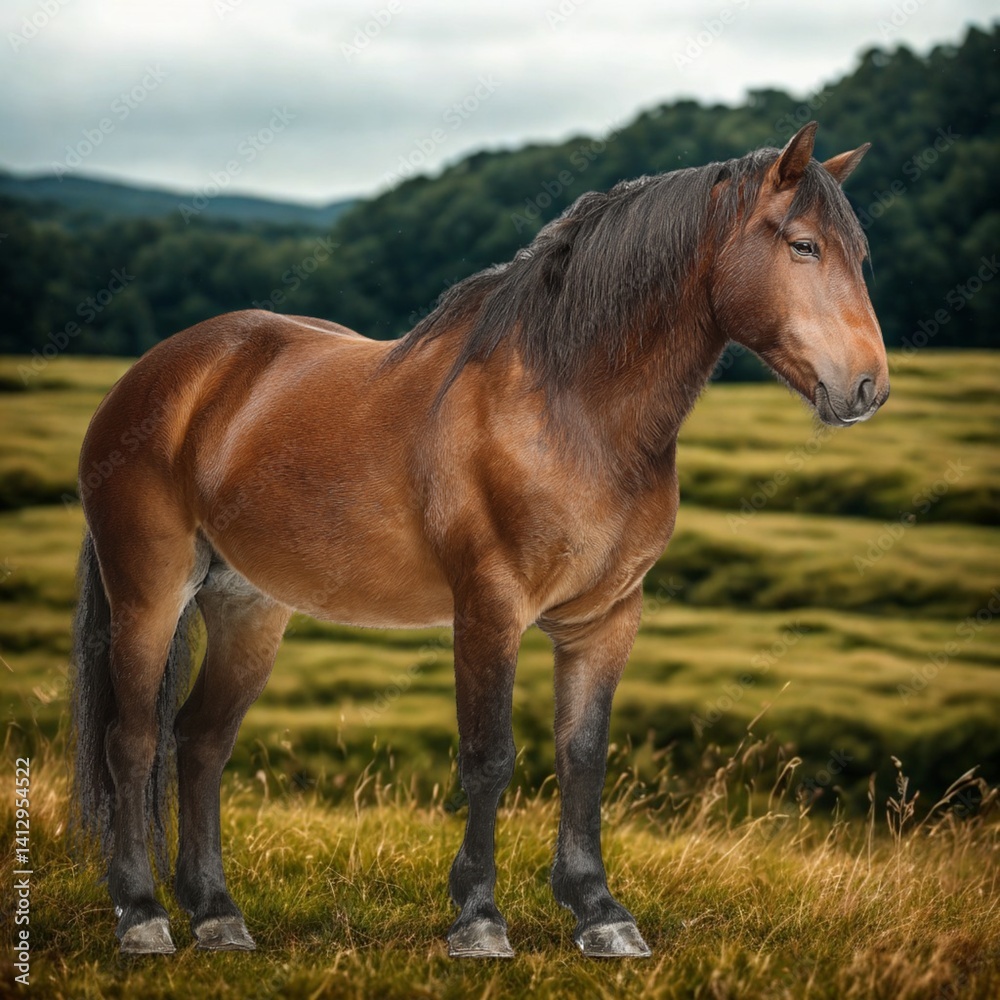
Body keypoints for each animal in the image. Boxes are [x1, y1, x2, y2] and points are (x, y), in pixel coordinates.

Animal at [69, 121, 888, 958]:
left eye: (858, 253)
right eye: (802, 245)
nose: (867, 387)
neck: (572, 411)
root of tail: (159, 374)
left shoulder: (606, 617)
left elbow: (583, 754)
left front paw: (600, 911)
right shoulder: (490, 607)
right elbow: (489, 757)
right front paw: (479, 919)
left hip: (248, 608)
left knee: (200, 742)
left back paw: (217, 915)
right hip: (150, 593)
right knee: (133, 740)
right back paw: (142, 914)